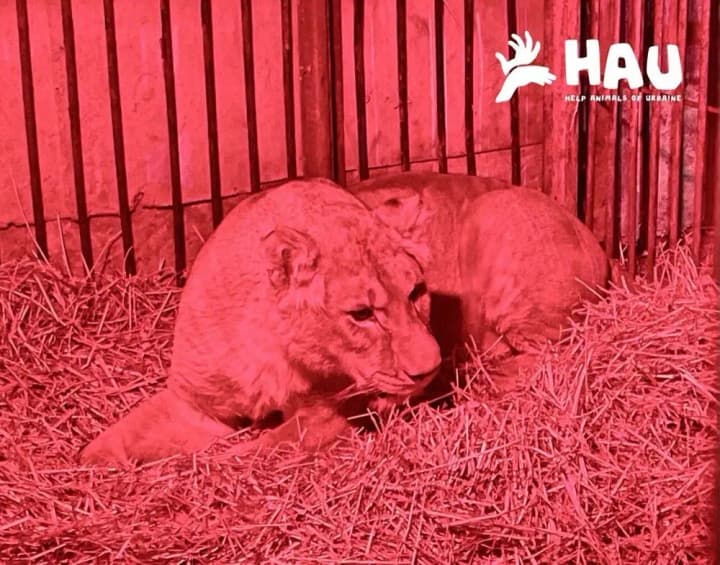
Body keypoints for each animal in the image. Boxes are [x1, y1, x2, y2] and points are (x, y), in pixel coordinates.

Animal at [80, 179, 441, 465]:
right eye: (362, 314)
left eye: (416, 292)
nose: (430, 369)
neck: (272, 351)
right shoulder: (192, 403)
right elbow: (117, 436)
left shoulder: (332, 409)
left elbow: (271, 444)